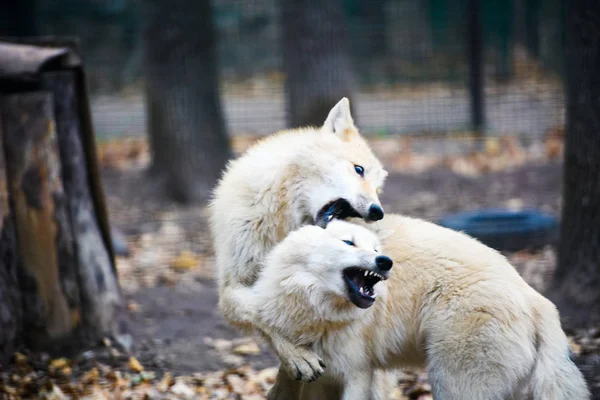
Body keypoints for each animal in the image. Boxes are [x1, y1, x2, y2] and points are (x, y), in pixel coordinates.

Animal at [209, 97, 392, 388]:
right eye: (359, 169)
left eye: (378, 189)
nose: (378, 211)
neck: (283, 218)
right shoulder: (232, 286)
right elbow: (260, 312)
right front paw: (297, 357)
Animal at [248, 217, 592, 400]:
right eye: (348, 243)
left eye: (375, 248)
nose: (385, 261)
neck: (318, 311)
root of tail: (536, 298)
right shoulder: (323, 376)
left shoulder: (356, 373)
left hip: (453, 381)